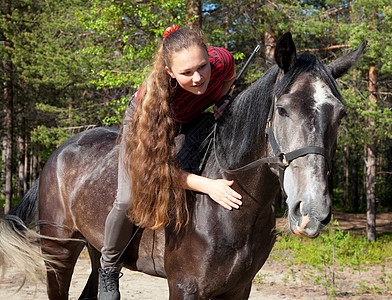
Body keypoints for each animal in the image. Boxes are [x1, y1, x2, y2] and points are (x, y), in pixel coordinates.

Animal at [1, 32, 366, 298]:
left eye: (340, 113)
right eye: (283, 109)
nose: (312, 211)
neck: (234, 210)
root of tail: (60, 152)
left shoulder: (239, 288)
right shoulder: (184, 286)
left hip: (93, 249)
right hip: (58, 252)